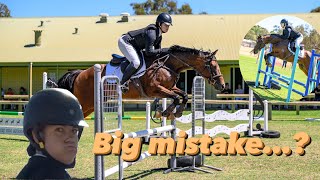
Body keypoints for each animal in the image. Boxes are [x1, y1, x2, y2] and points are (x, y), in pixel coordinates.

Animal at [55, 45, 225, 118]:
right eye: (212, 66)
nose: (222, 85)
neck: (168, 64)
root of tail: (80, 73)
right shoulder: (155, 89)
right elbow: (176, 97)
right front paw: (166, 112)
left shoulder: (170, 88)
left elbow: (183, 95)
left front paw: (175, 113)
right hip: (86, 101)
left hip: (91, 105)